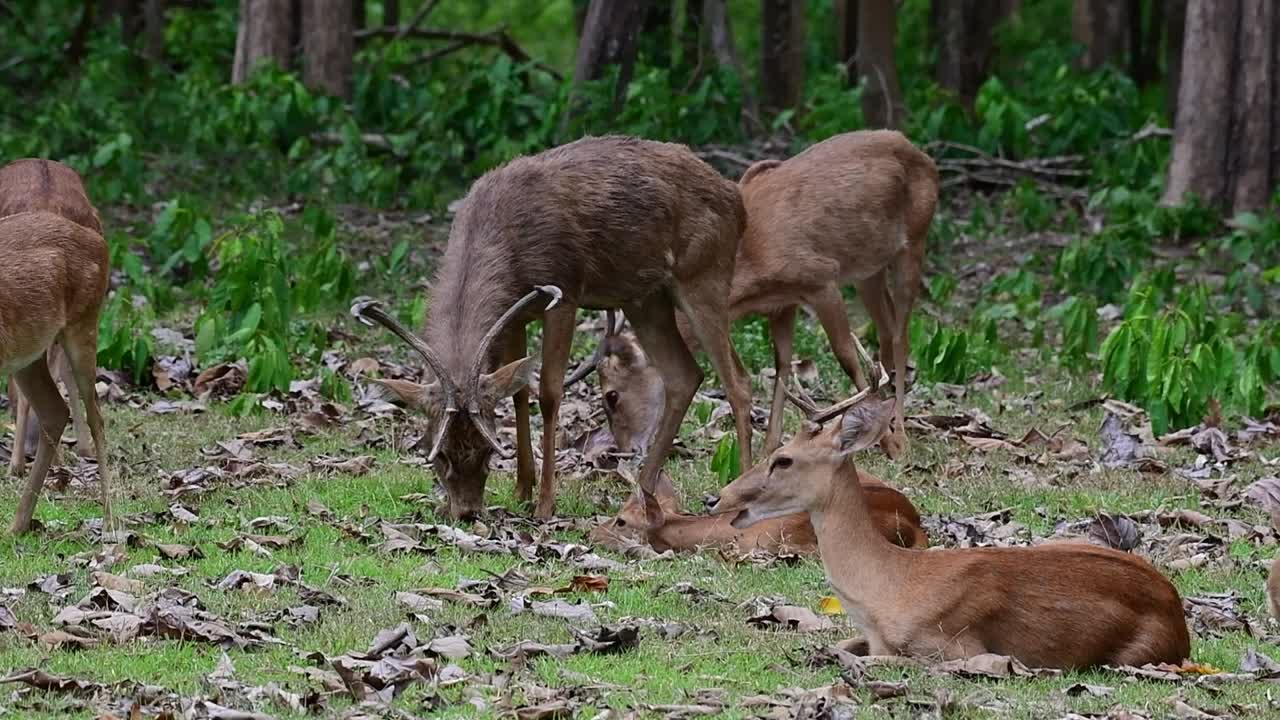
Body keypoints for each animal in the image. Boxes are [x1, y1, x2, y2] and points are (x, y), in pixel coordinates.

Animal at [1, 210, 112, 535]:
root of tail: (99, 241)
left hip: (84, 322)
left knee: (95, 416)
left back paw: (111, 522)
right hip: (27, 353)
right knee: (54, 410)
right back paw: (18, 525)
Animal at [351, 135, 756, 526]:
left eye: (486, 452)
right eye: (440, 455)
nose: (466, 512)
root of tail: (735, 199)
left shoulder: (564, 292)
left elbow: (548, 393)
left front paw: (545, 504)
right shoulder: (515, 315)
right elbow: (519, 391)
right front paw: (521, 488)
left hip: (704, 274)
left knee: (737, 380)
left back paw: (739, 491)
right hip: (645, 297)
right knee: (684, 375)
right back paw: (642, 495)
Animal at [566, 130, 938, 458]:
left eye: (611, 396)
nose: (624, 451)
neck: (750, 269)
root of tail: (921, 153)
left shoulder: (822, 279)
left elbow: (845, 356)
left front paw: (885, 441)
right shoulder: (783, 303)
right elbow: (782, 365)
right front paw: (769, 448)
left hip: (915, 241)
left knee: (902, 335)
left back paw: (901, 435)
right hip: (868, 270)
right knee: (887, 330)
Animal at [714, 393, 1191, 670]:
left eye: (783, 459)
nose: (715, 498)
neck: (889, 587)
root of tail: (1178, 615)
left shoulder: (961, 647)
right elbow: (838, 646)